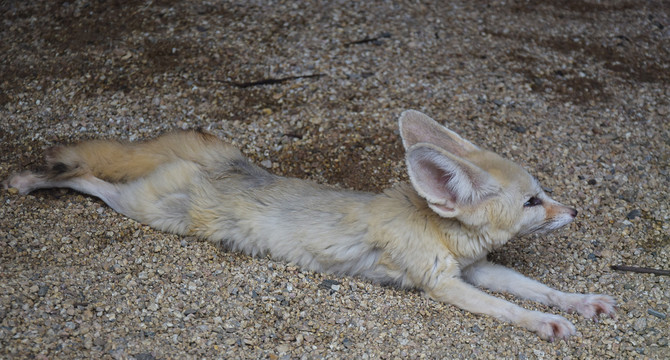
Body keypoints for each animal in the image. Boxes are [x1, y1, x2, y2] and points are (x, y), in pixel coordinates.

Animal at [3, 110, 616, 340]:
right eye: (533, 201)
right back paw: (29, 181)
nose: (575, 212)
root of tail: (224, 158)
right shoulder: (442, 283)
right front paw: (546, 324)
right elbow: (508, 307)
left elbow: (535, 287)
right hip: (142, 208)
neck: (442, 228)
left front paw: (581, 302)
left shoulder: (477, 269)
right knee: (87, 178)